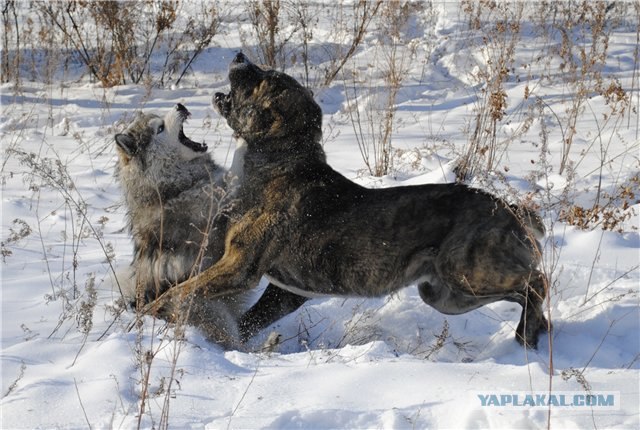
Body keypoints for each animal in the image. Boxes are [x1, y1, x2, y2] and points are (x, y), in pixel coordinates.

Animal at [160, 52, 552, 348]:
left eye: (264, 80)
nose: (240, 55)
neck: (279, 161)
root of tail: (512, 210)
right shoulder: (284, 292)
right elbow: (245, 322)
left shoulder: (239, 267)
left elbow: (175, 294)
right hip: (445, 294)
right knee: (527, 292)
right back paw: (535, 332)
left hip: (468, 272)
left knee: (536, 283)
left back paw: (528, 334)